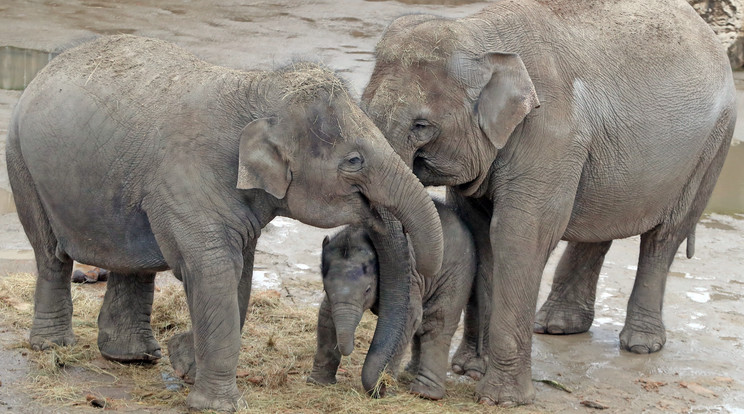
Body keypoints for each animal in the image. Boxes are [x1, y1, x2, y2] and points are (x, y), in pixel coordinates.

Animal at [8, 34, 444, 410]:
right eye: (354, 161)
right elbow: (215, 270)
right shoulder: (186, 183)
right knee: (50, 254)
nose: (380, 388)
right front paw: (216, 403)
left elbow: (241, 274)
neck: (258, 88)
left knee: (131, 263)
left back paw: (134, 358)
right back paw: (54, 347)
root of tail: (44, 71)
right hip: (21, 161)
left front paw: (184, 362)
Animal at [308, 201, 476, 402]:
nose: (350, 347)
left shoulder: (409, 278)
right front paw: (317, 383)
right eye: (325, 288)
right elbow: (325, 315)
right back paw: (409, 375)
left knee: (437, 322)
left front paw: (385, 387)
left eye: (367, 290)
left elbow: (409, 319)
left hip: (456, 274)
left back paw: (424, 393)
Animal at [362, 0, 740, 406]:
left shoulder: (550, 134)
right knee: (597, 225)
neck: (478, 33)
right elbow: (480, 234)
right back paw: (556, 326)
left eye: (421, 126)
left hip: (711, 147)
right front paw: (469, 370)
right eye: (362, 109)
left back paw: (640, 344)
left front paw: (501, 399)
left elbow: (518, 235)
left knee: (665, 235)